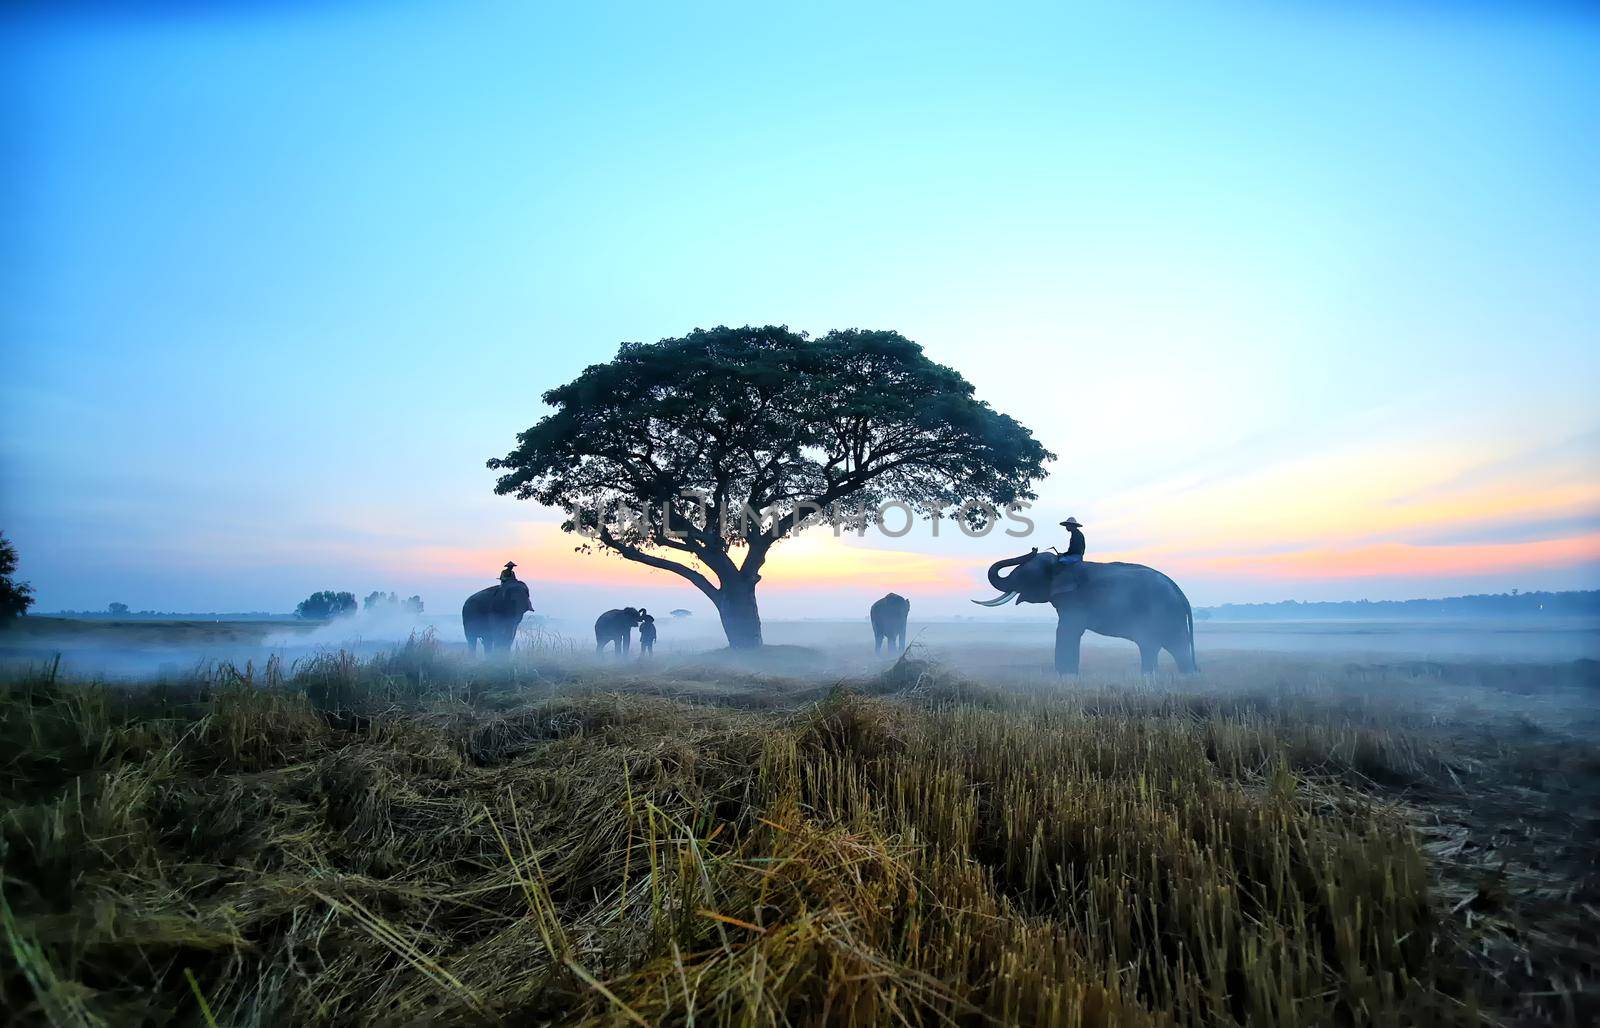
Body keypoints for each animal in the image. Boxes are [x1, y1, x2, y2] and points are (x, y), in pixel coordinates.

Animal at [966, 544, 1196, 672]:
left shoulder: (1074, 600)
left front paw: (1064, 674)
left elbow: (1067, 631)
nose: (1033, 548)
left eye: (1025, 575)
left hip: (1164, 612)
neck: (1061, 564)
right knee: (1161, 646)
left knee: (1169, 646)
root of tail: (1181, 593)